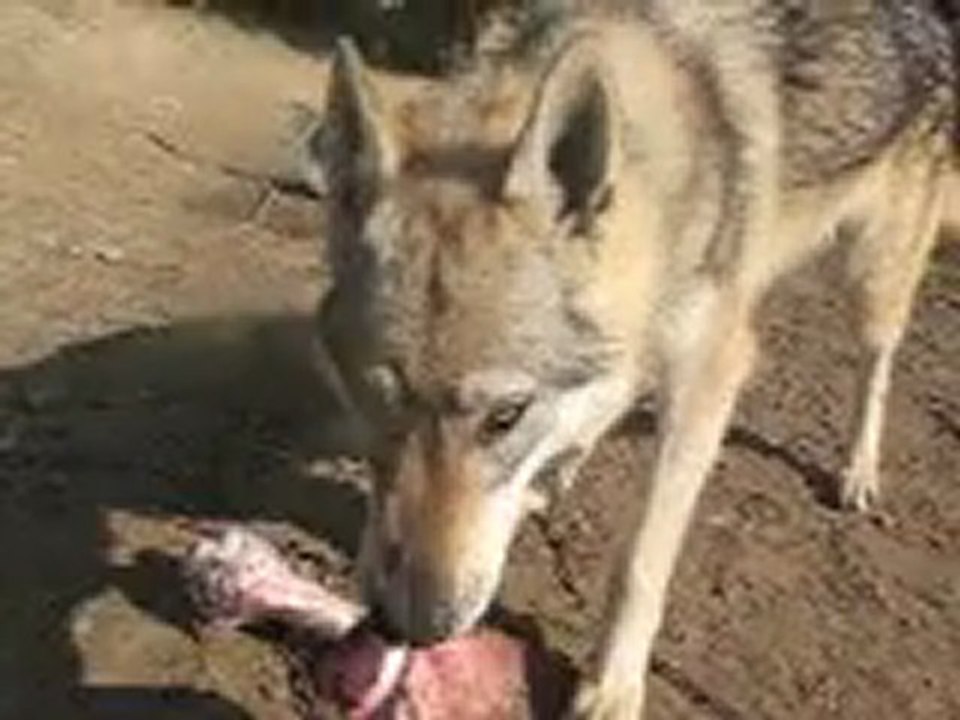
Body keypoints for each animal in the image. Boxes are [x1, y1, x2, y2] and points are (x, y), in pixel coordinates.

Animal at [306, 2, 957, 717]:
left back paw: (857, 471)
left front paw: (612, 686)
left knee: (877, 365)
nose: (407, 624)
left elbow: (641, 559)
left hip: (870, 282)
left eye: (506, 416)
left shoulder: (709, 377)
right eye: (374, 404)